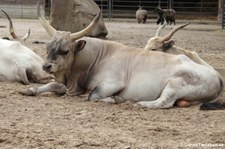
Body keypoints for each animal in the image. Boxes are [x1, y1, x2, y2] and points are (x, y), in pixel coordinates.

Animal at [19, 2, 223, 109]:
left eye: (65, 50)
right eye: (48, 47)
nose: (46, 66)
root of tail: (217, 76)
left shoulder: (112, 83)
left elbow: (92, 95)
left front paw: (111, 98)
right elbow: (54, 85)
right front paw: (30, 90)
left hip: (174, 85)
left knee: (163, 102)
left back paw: (135, 103)